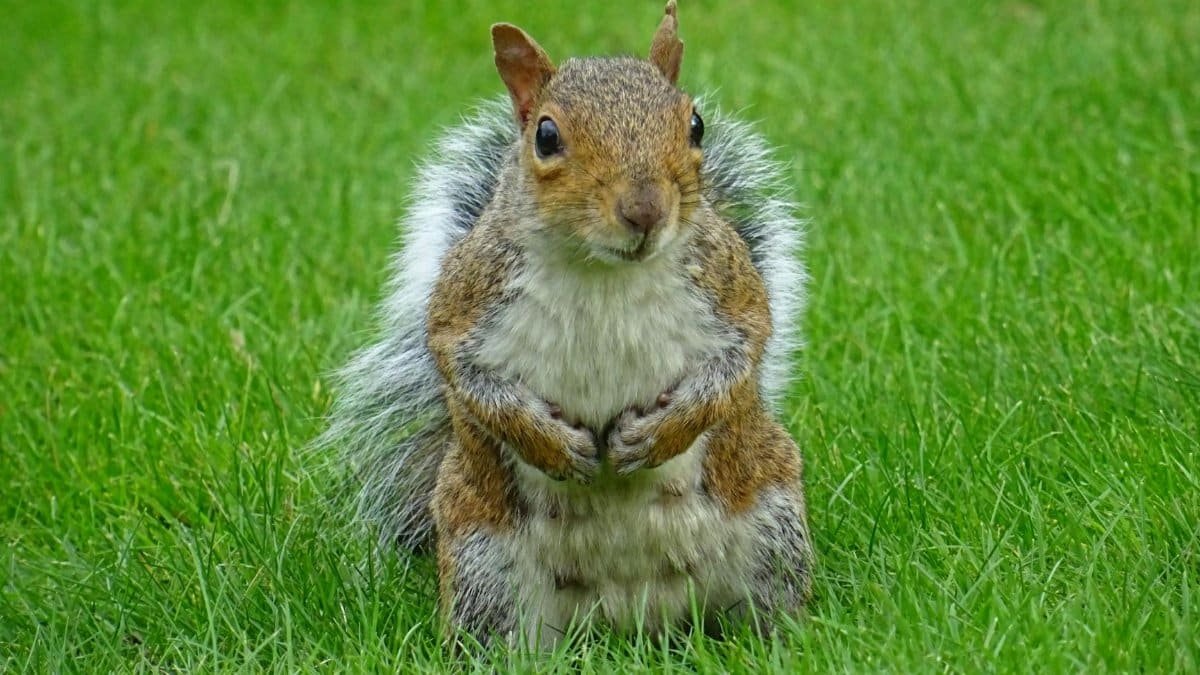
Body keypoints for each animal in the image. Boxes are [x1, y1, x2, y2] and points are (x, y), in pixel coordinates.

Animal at [321, 1, 813, 648]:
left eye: (696, 125)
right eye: (547, 136)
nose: (644, 210)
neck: (602, 271)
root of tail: (637, 621)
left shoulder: (732, 292)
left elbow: (737, 366)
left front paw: (656, 435)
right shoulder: (464, 306)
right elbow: (469, 380)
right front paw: (554, 446)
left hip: (772, 531)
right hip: (484, 571)